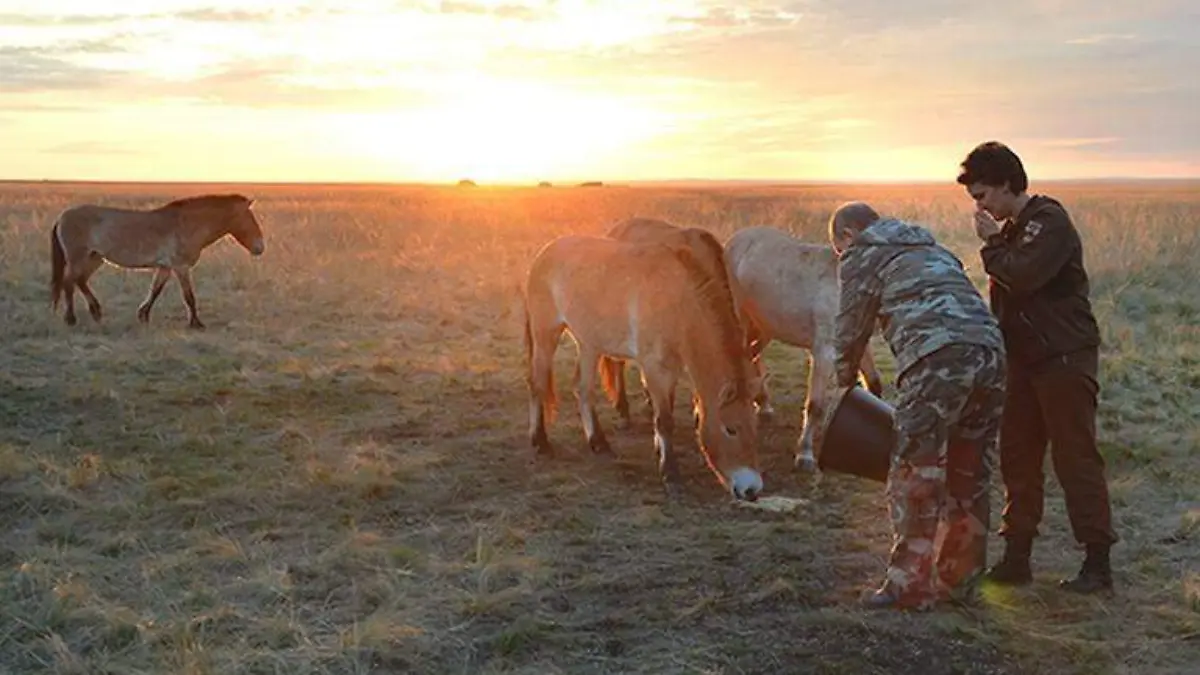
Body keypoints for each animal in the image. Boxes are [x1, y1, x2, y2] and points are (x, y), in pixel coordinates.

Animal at [49, 194, 265, 329]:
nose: (260, 247)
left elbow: (155, 291)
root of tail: (62, 216)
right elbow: (189, 296)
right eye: (249, 219)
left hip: (95, 258)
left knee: (80, 281)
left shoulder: (165, 267)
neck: (186, 224)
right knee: (69, 283)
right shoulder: (180, 267)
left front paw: (143, 315)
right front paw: (196, 323)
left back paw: (96, 312)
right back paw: (71, 319)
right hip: (78, 257)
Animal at [523, 232, 764, 501]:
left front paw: (660, 452)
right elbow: (664, 419)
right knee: (537, 383)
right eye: (730, 429)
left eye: (755, 428)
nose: (752, 489)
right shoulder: (654, 368)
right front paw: (670, 474)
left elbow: (664, 412)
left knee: (583, 389)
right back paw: (540, 442)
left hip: (588, 343)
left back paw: (598, 442)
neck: (678, 303)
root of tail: (544, 253)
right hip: (546, 334)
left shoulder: (672, 369)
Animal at [724, 225, 884, 471]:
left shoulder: (860, 346)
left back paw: (764, 405)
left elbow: (874, 384)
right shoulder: (824, 352)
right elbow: (815, 404)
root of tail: (735, 240)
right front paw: (805, 455)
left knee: (753, 357)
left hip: (764, 326)